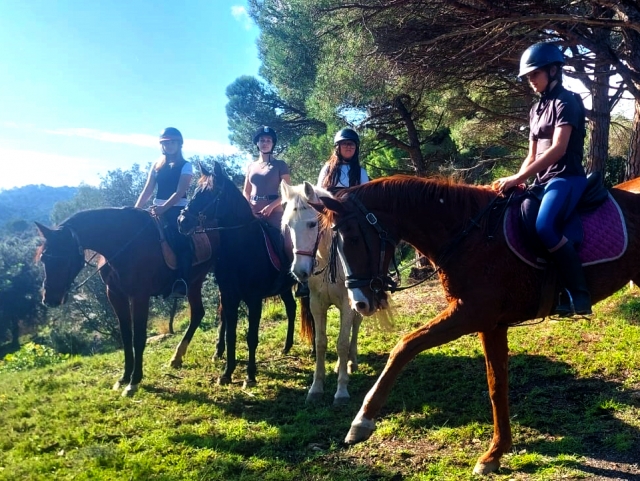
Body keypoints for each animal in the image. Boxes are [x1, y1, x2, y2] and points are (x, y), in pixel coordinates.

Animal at [35, 207, 218, 397]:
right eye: (44, 259)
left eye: (64, 256)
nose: (50, 298)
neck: (123, 245)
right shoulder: (115, 295)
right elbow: (126, 336)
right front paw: (124, 377)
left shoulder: (139, 296)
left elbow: (138, 337)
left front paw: (134, 382)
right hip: (195, 282)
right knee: (200, 313)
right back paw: (184, 357)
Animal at [177, 161, 300, 388]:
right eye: (196, 190)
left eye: (210, 193)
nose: (182, 221)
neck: (242, 248)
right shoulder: (229, 297)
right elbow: (230, 334)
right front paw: (227, 373)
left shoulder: (253, 299)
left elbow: (251, 337)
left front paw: (250, 376)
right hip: (284, 288)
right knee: (291, 308)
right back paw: (286, 347)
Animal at [281, 181, 362, 405]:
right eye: (288, 226)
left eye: (311, 224)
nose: (299, 271)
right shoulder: (316, 304)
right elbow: (320, 342)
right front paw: (316, 388)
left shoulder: (347, 304)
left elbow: (342, 343)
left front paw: (341, 391)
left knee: (356, 325)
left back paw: (351, 362)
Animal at [313, 175, 640, 475]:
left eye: (353, 238)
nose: (360, 303)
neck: (471, 234)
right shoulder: (490, 324)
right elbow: (497, 385)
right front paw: (495, 453)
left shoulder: (471, 314)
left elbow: (404, 346)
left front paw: (362, 420)